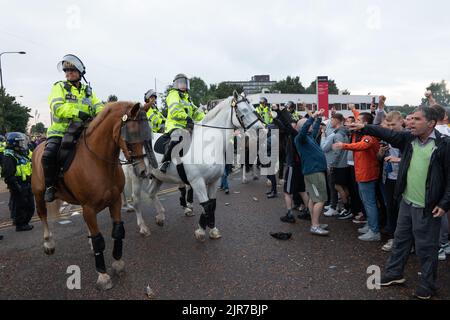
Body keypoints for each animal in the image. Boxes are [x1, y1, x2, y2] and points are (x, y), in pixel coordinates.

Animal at [32, 102, 151, 290]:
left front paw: (118, 263)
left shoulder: (114, 202)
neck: (98, 161)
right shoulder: (88, 207)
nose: (142, 171)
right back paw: (48, 243)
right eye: (131, 131)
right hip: (38, 193)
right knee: (42, 214)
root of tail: (38, 146)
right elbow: (99, 240)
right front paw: (103, 276)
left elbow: (117, 231)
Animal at [137, 92, 266, 240]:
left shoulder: (213, 181)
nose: (262, 130)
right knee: (135, 200)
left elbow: (212, 205)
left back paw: (160, 217)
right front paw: (201, 231)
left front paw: (212, 229)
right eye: (243, 110)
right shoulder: (197, 182)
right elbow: (206, 205)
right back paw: (143, 227)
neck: (207, 144)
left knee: (151, 193)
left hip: (157, 177)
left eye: (254, 108)